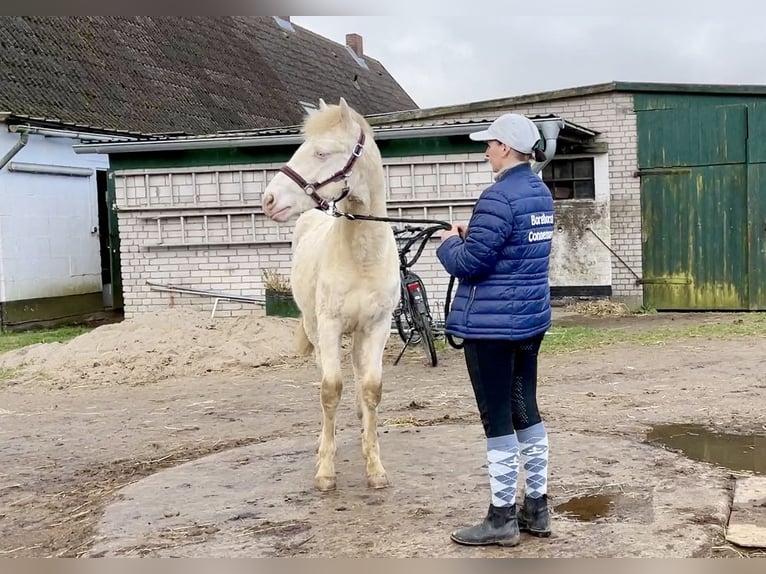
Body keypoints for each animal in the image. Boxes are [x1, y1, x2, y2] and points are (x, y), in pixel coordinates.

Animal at [260, 97, 400, 492]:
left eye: (322, 152)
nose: (268, 200)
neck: (362, 257)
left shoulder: (378, 328)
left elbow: (371, 388)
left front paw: (375, 467)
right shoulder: (329, 325)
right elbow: (330, 389)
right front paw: (325, 470)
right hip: (314, 327)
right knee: (326, 374)